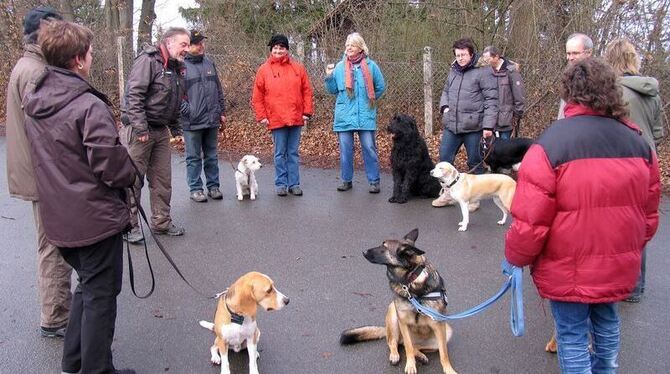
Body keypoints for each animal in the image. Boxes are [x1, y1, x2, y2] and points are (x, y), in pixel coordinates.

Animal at [342, 228, 456, 374]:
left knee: (416, 347)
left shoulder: (438, 324)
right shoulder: (403, 322)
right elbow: (407, 347)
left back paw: (421, 355)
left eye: (384, 248)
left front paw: (449, 369)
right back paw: (395, 355)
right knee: (396, 342)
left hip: (446, 332)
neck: (410, 280)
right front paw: (411, 366)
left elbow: (444, 353)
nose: (363, 251)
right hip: (393, 316)